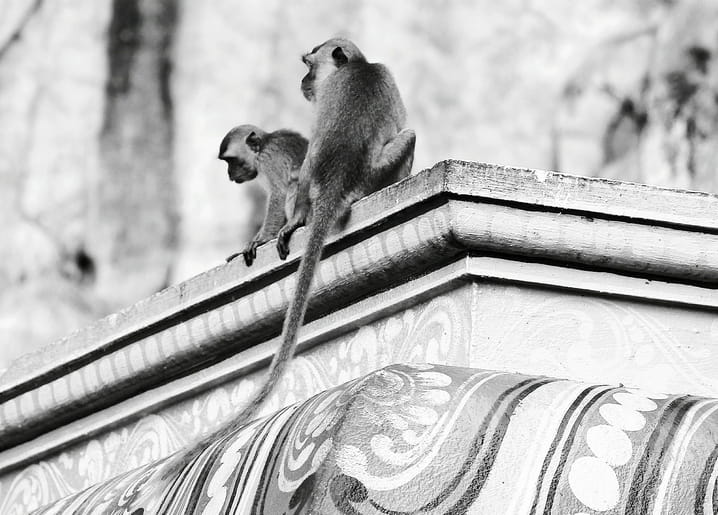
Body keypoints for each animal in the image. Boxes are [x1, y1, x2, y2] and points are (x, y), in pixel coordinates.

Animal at [218, 124, 308, 266]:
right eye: (227, 162)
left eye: (231, 160)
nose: (229, 173)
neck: (264, 145)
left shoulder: (267, 160)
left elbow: (279, 193)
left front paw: (264, 239)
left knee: (293, 182)